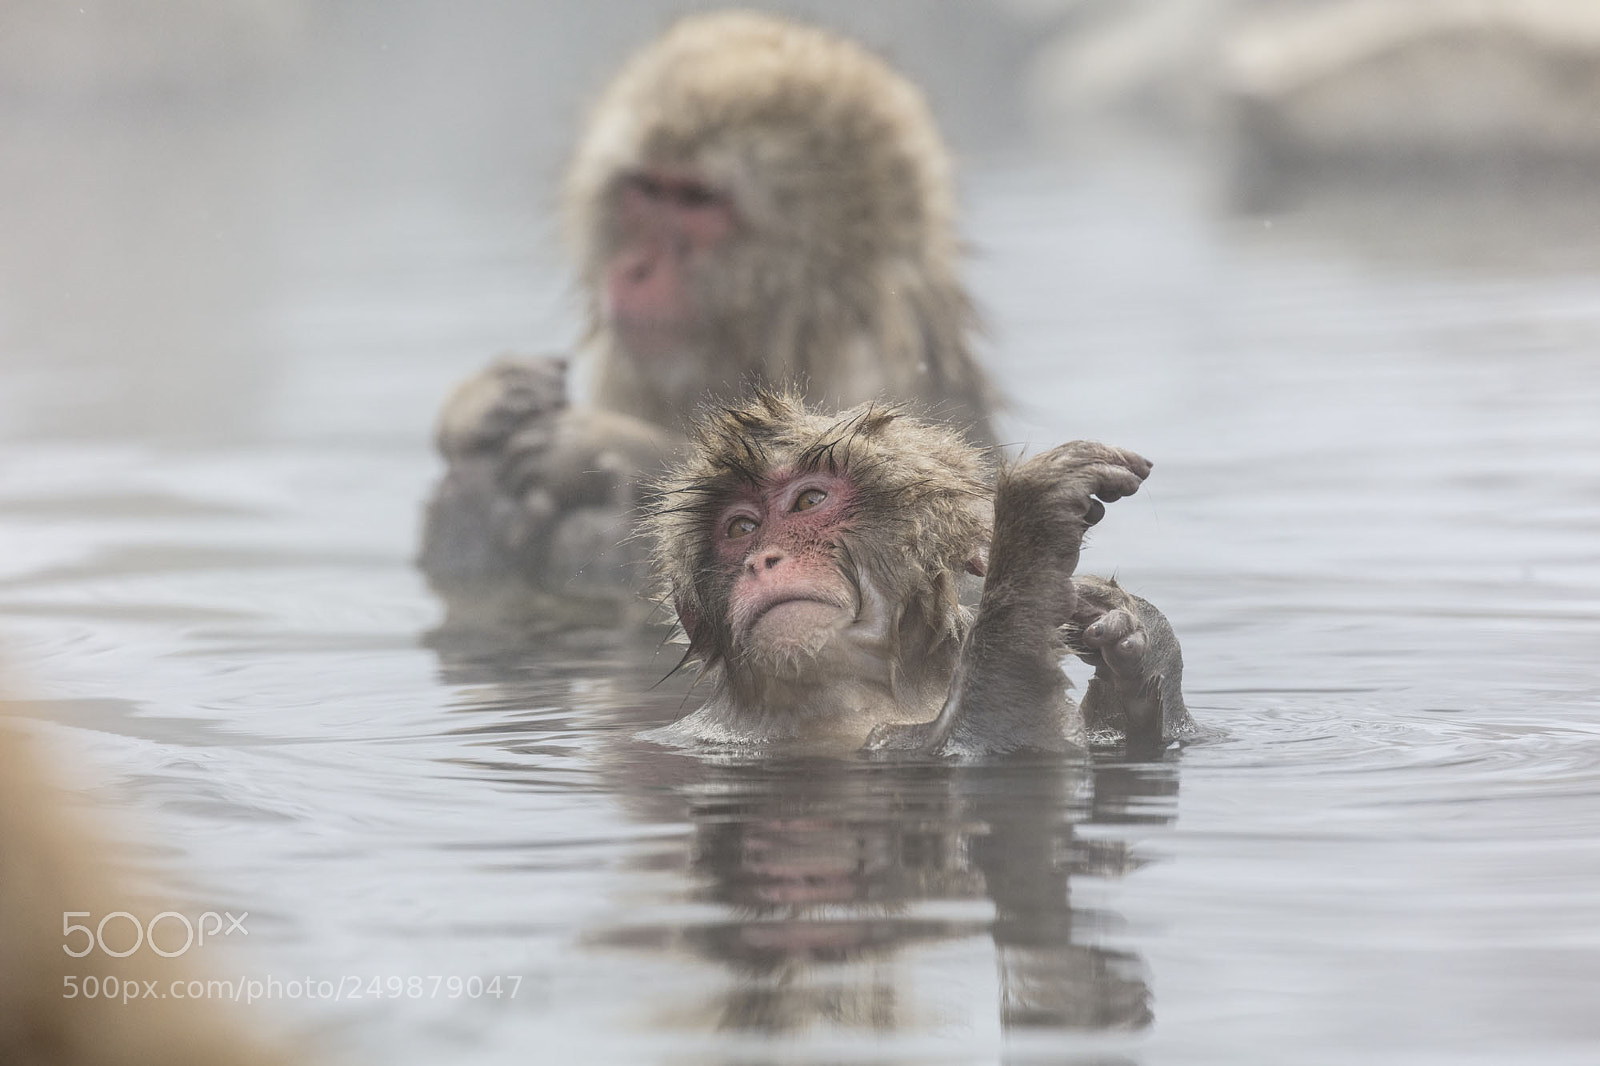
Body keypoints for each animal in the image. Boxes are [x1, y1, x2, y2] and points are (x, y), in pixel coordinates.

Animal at [641, 391, 1193, 757]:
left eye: (810, 500)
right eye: (740, 528)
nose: (761, 560)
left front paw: (1132, 638)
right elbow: (998, 742)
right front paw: (1032, 521)